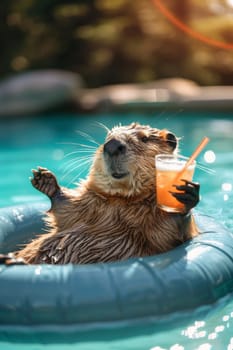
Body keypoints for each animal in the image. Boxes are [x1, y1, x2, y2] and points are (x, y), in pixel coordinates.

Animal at [15, 121, 199, 264]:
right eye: (108, 137)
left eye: (144, 138)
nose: (112, 145)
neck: (121, 200)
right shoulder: (88, 203)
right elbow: (66, 210)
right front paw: (44, 179)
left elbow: (171, 236)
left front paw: (187, 197)